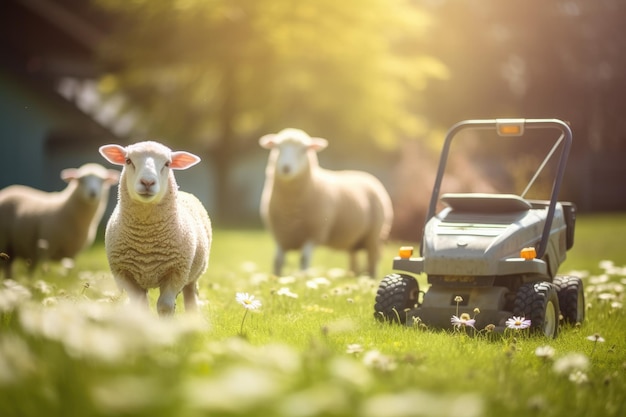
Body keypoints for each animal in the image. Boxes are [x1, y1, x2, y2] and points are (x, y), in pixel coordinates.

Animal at [98, 141, 212, 316]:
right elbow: (139, 306)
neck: (146, 241)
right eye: (128, 160)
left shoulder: (177, 271)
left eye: (167, 163)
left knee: (190, 294)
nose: (147, 182)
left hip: (194, 273)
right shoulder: (123, 273)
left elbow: (165, 306)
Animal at [256, 127, 392, 276]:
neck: (291, 208)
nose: (286, 168)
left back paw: (372, 278)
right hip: (355, 238)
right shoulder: (281, 236)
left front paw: (303, 277)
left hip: (374, 236)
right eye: (277, 147)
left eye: (304, 150)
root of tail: (364, 174)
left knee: (372, 260)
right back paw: (352, 275)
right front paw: (276, 278)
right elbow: (277, 261)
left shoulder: (315, 233)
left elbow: (304, 258)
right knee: (354, 259)